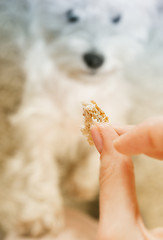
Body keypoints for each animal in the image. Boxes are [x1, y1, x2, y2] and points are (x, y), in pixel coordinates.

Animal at [0, 0, 159, 237]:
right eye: (71, 15)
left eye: (116, 18)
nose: (94, 59)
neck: (77, 84)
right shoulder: (37, 123)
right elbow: (37, 167)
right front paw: (39, 216)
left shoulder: (114, 107)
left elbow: (92, 156)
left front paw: (81, 184)